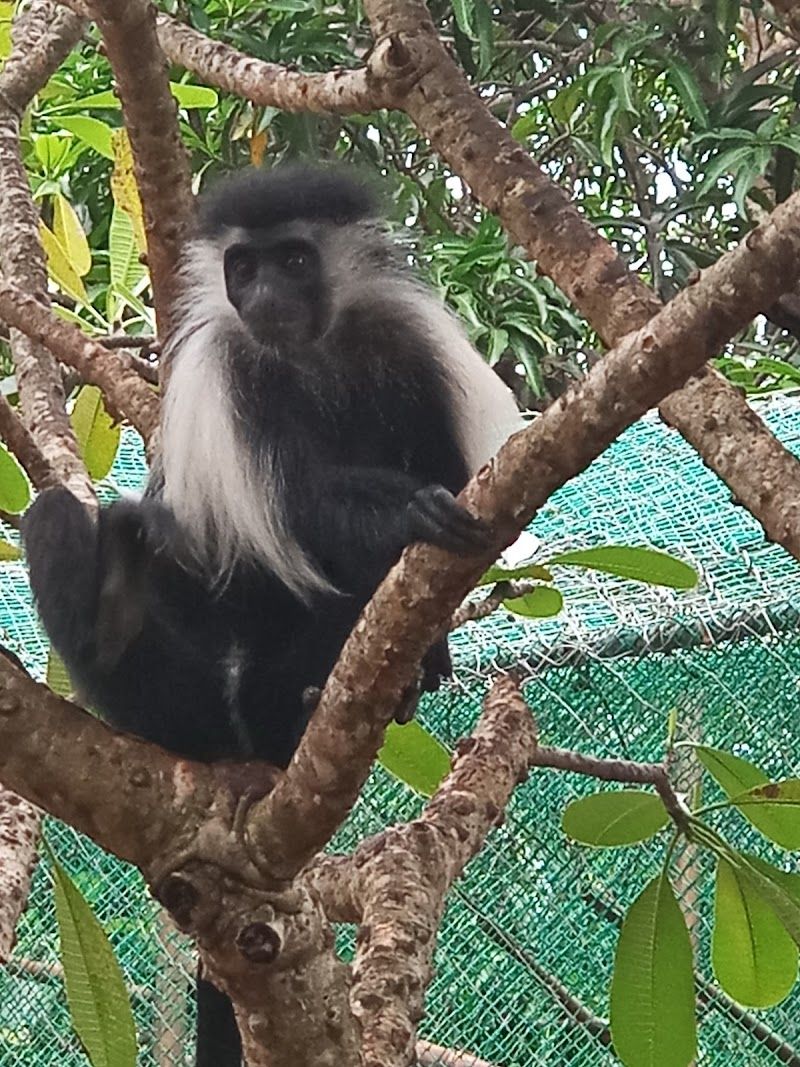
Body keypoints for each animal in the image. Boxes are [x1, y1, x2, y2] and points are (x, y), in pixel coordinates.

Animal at [23, 164, 523, 1066]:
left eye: (294, 258)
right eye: (243, 266)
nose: (262, 294)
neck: (312, 351)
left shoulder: (411, 345)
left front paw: (430, 621)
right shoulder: (230, 373)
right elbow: (294, 506)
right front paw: (408, 515)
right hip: (180, 687)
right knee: (59, 521)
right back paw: (122, 616)